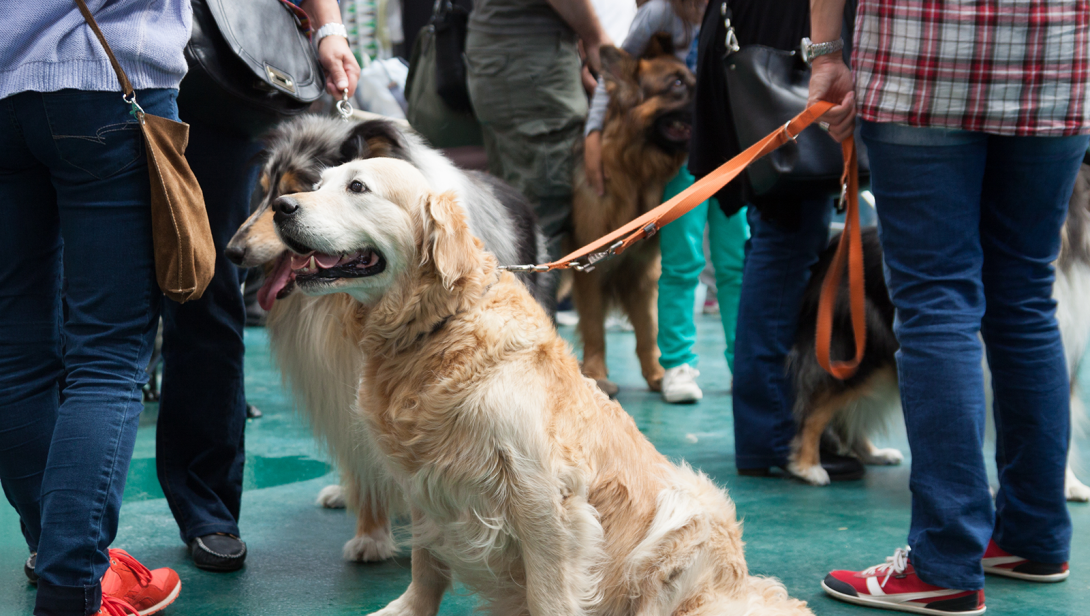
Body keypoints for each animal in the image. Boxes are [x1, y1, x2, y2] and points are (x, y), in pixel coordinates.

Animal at [270, 156, 819, 614]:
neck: (440, 326)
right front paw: (406, 610)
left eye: (358, 187)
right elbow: (425, 567)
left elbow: (550, 592)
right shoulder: (424, 485)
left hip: (685, 509)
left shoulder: (540, 493)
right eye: (317, 184)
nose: (280, 206)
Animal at [566, 35, 693, 396]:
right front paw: (596, 373)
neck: (633, 173)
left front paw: (657, 374)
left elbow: (649, 329)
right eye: (677, 84)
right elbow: (593, 325)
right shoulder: (589, 270)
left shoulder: (642, 272)